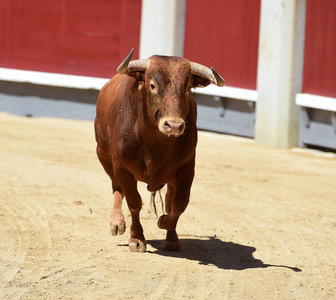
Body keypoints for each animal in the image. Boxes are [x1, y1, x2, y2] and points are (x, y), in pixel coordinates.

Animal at [94, 48, 224, 252]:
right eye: (152, 85)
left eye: (188, 88)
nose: (174, 125)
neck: (154, 142)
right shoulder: (121, 167)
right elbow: (134, 202)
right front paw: (137, 239)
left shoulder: (187, 168)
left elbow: (178, 204)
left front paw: (164, 223)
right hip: (103, 154)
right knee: (116, 188)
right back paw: (116, 222)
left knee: (170, 200)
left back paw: (171, 238)